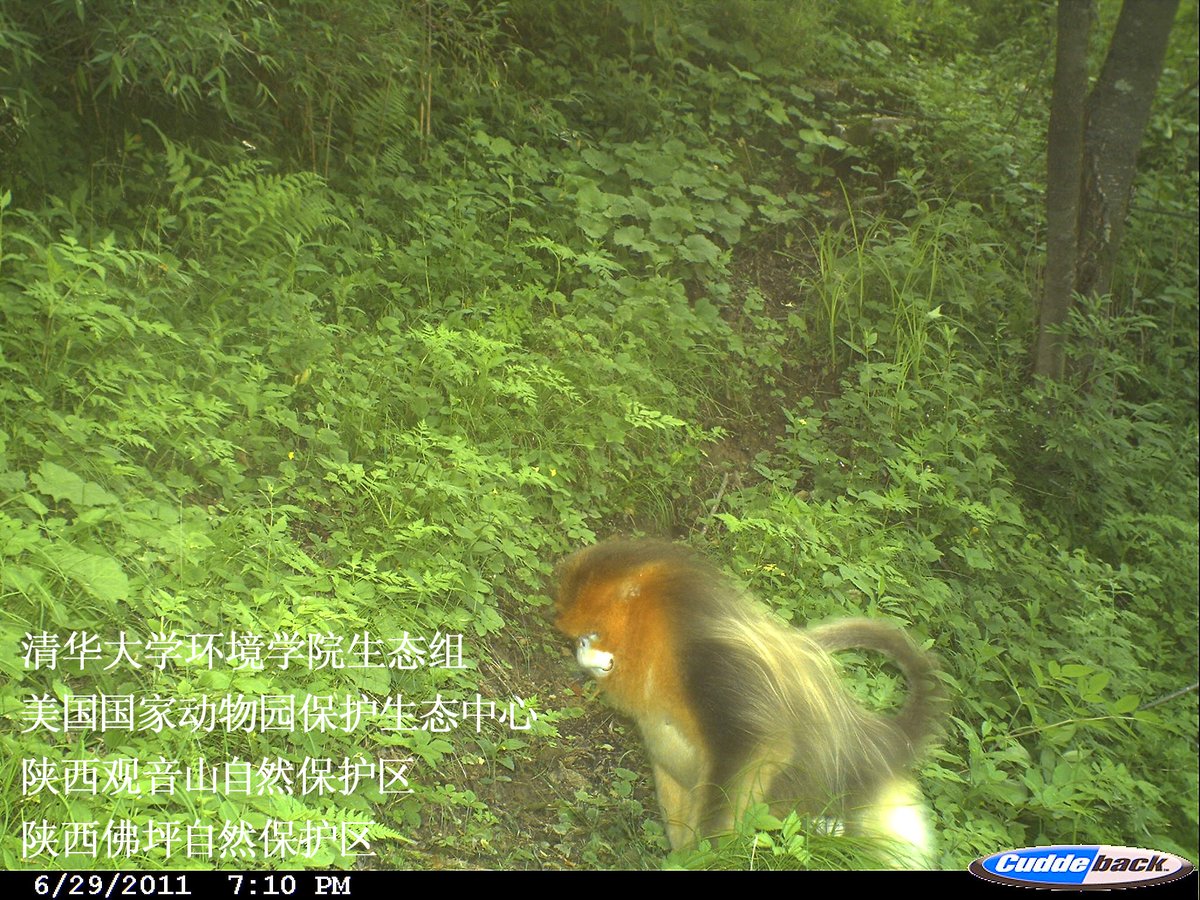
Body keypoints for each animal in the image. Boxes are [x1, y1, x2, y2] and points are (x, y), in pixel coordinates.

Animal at [553, 538, 943, 864]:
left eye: (591, 634)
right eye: (575, 639)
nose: (581, 652)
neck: (662, 638)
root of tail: (886, 739)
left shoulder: (709, 656)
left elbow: (762, 743)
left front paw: (706, 858)